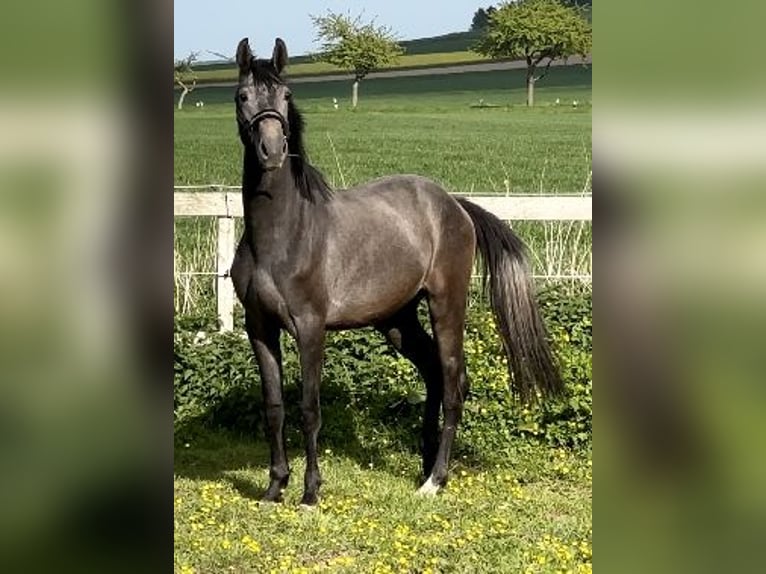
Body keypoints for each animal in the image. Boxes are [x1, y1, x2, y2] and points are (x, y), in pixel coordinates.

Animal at [230, 37, 564, 508]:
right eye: (243, 97)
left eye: (286, 95)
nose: (273, 151)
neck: (281, 236)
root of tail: (455, 205)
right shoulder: (259, 327)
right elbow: (274, 407)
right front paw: (274, 487)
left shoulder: (310, 328)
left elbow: (309, 409)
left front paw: (310, 493)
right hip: (397, 320)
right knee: (433, 375)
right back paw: (426, 465)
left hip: (446, 307)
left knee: (454, 382)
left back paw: (435, 480)